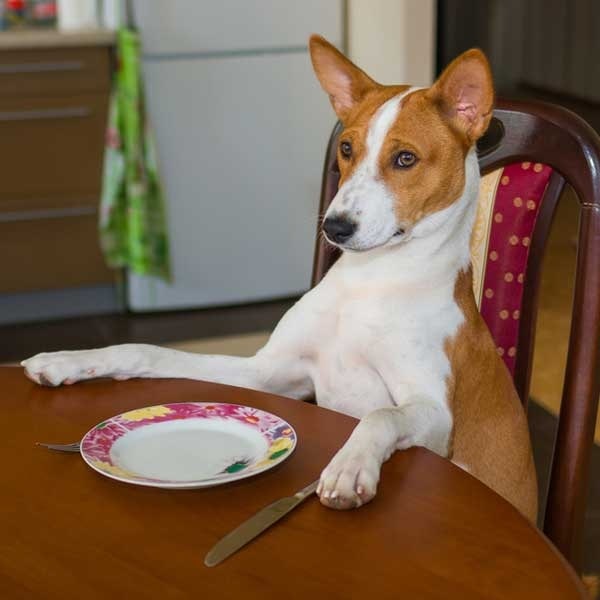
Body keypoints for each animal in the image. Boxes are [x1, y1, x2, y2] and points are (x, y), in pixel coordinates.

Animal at [22, 36, 540, 520]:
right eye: (347, 149)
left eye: (406, 159)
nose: (335, 227)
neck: (369, 284)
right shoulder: (269, 374)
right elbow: (145, 350)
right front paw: (68, 361)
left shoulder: (434, 412)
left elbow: (379, 414)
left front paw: (349, 467)